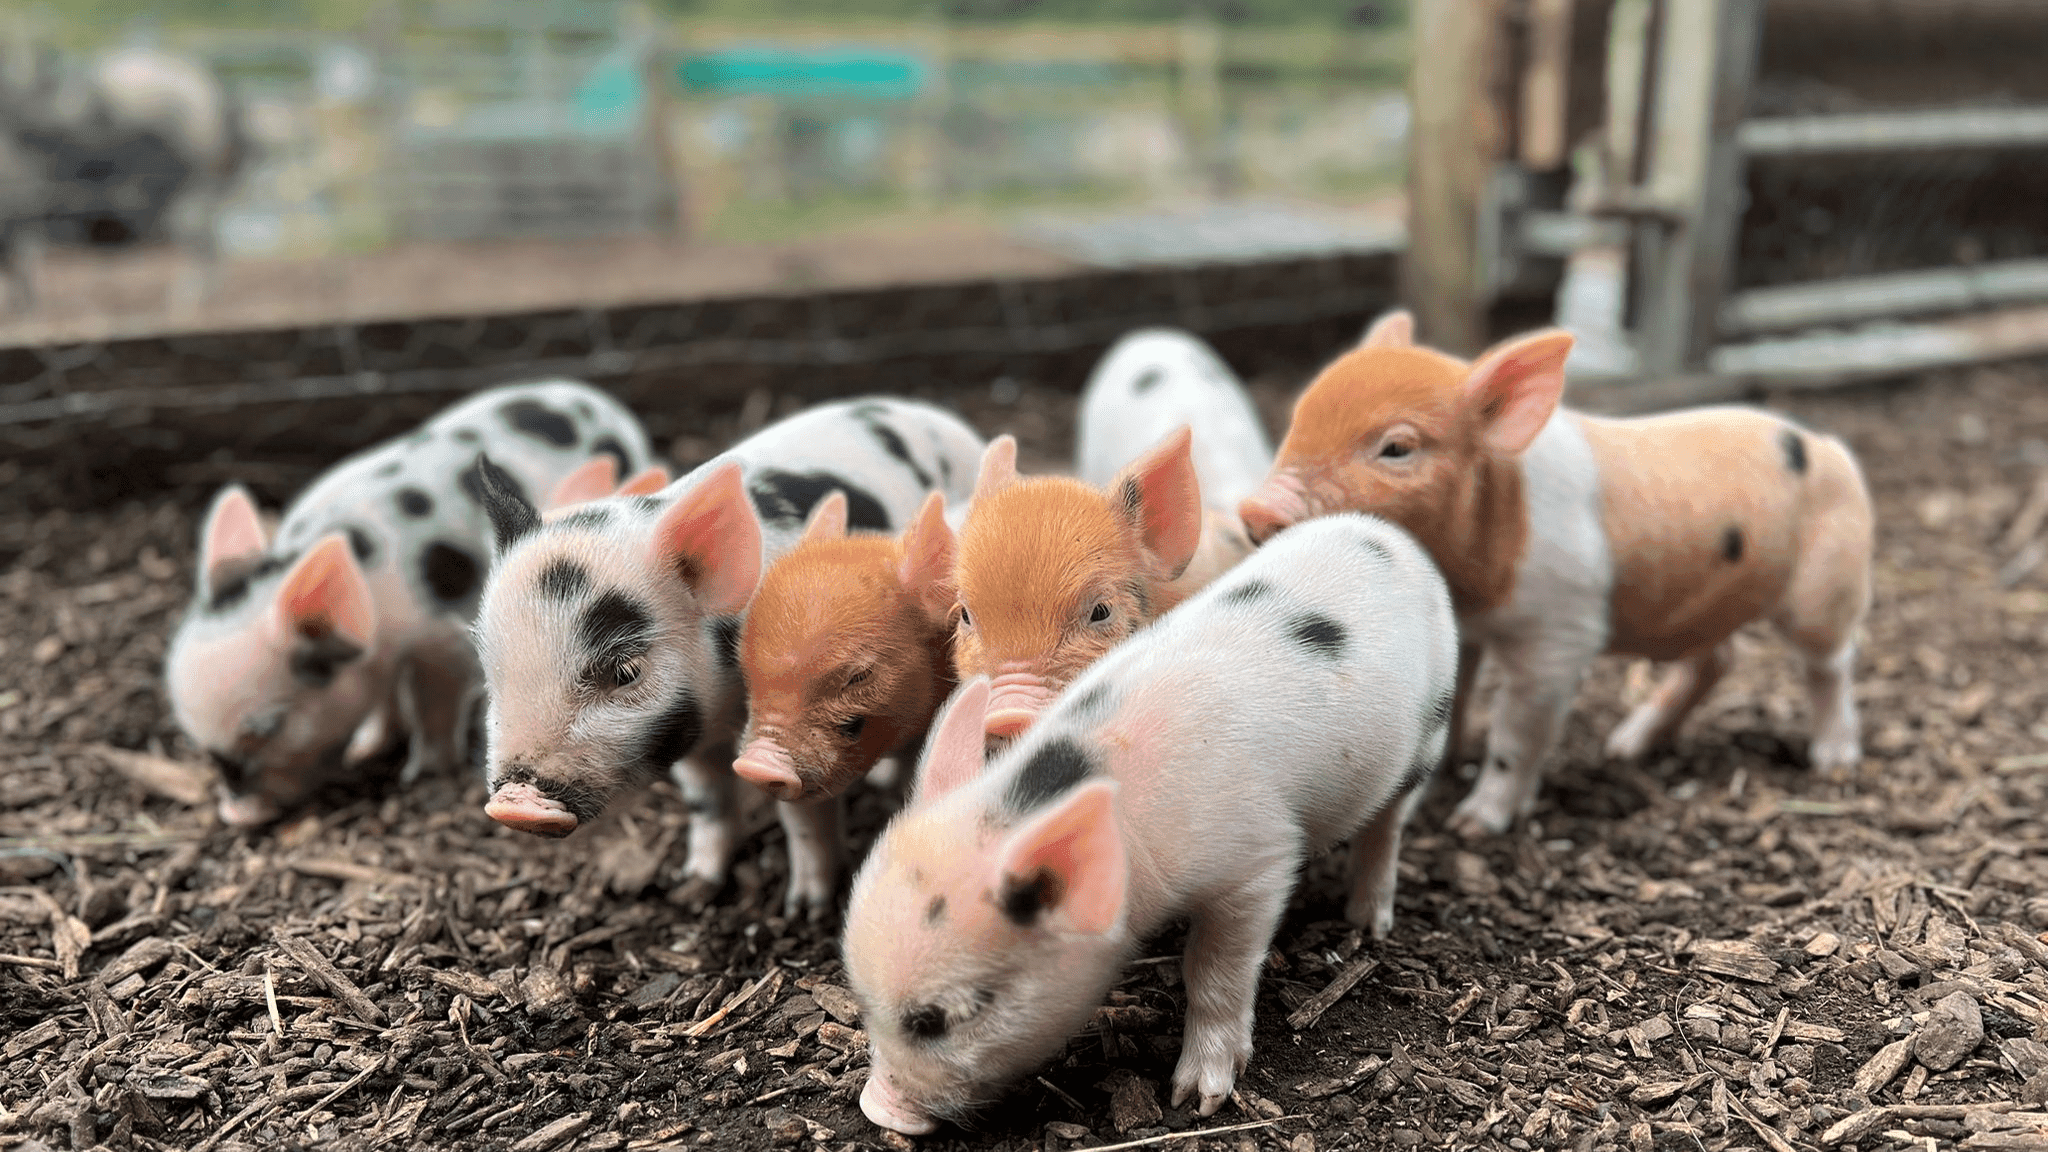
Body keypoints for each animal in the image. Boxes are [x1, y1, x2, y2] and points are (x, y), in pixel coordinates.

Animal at [165, 379, 653, 828]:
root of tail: (594, 397)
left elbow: (433, 701)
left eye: (269, 726)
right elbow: (385, 698)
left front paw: (423, 773)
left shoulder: (442, 637)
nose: (236, 816)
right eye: (192, 736)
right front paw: (366, 747)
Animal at [472, 398, 984, 917]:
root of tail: (936, 416)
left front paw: (804, 910)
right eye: (492, 672)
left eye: (625, 671)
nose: (514, 801)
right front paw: (692, 889)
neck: (721, 715)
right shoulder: (688, 739)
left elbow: (801, 810)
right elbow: (709, 801)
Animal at [843, 512, 1460, 1134]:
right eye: (862, 998)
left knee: (1388, 825)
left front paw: (1195, 1098)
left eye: (935, 1020)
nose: (876, 1109)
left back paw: (1368, 923)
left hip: (1433, 726)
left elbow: (1214, 970)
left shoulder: (1258, 860)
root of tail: (1386, 534)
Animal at [1238, 310, 1875, 838]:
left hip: (1826, 586)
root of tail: (1827, 444)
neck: (1472, 584)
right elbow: (1457, 698)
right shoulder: (1464, 627)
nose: (1256, 509)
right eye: (1299, 418)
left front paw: (1472, 826)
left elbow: (1516, 736)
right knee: (1718, 660)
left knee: (1830, 665)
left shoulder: (1558, 636)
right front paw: (1442, 776)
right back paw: (1625, 748)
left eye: (1396, 447)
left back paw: (1833, 764)